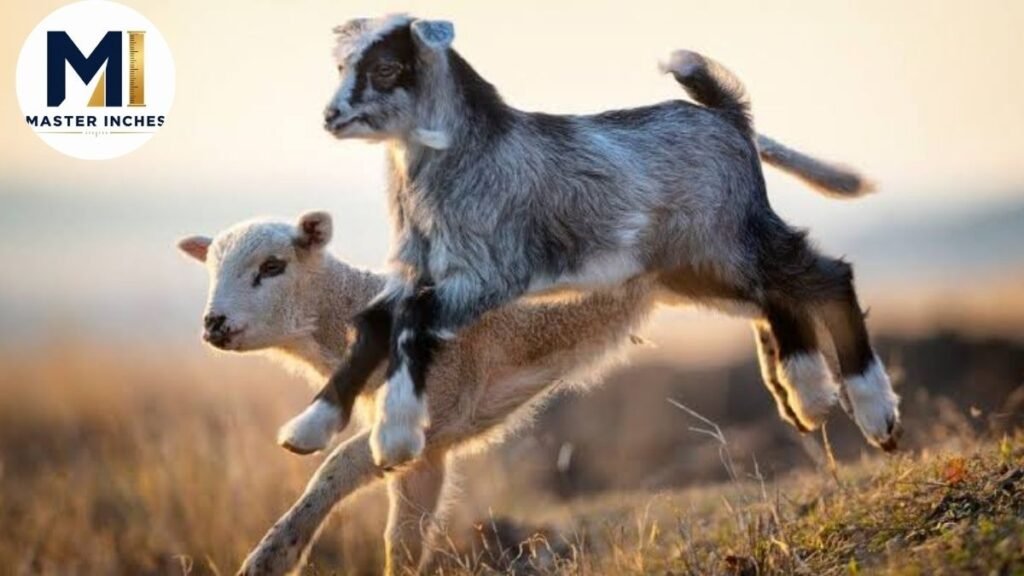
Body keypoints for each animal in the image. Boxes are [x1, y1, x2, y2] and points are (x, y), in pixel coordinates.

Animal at [286, 15, 900, 468]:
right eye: (342, 65)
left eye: (386, 67)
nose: (331, 116)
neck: (462, 157)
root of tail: (728, 116)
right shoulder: (419, 270)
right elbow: (374, 323)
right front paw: (308, 428)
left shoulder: (486, 275)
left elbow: (411, 322)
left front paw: (395, 435)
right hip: (696, 265)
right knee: (776, 295)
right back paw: (810, 395)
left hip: (731, 235)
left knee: (826, 275)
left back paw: (873, 413)